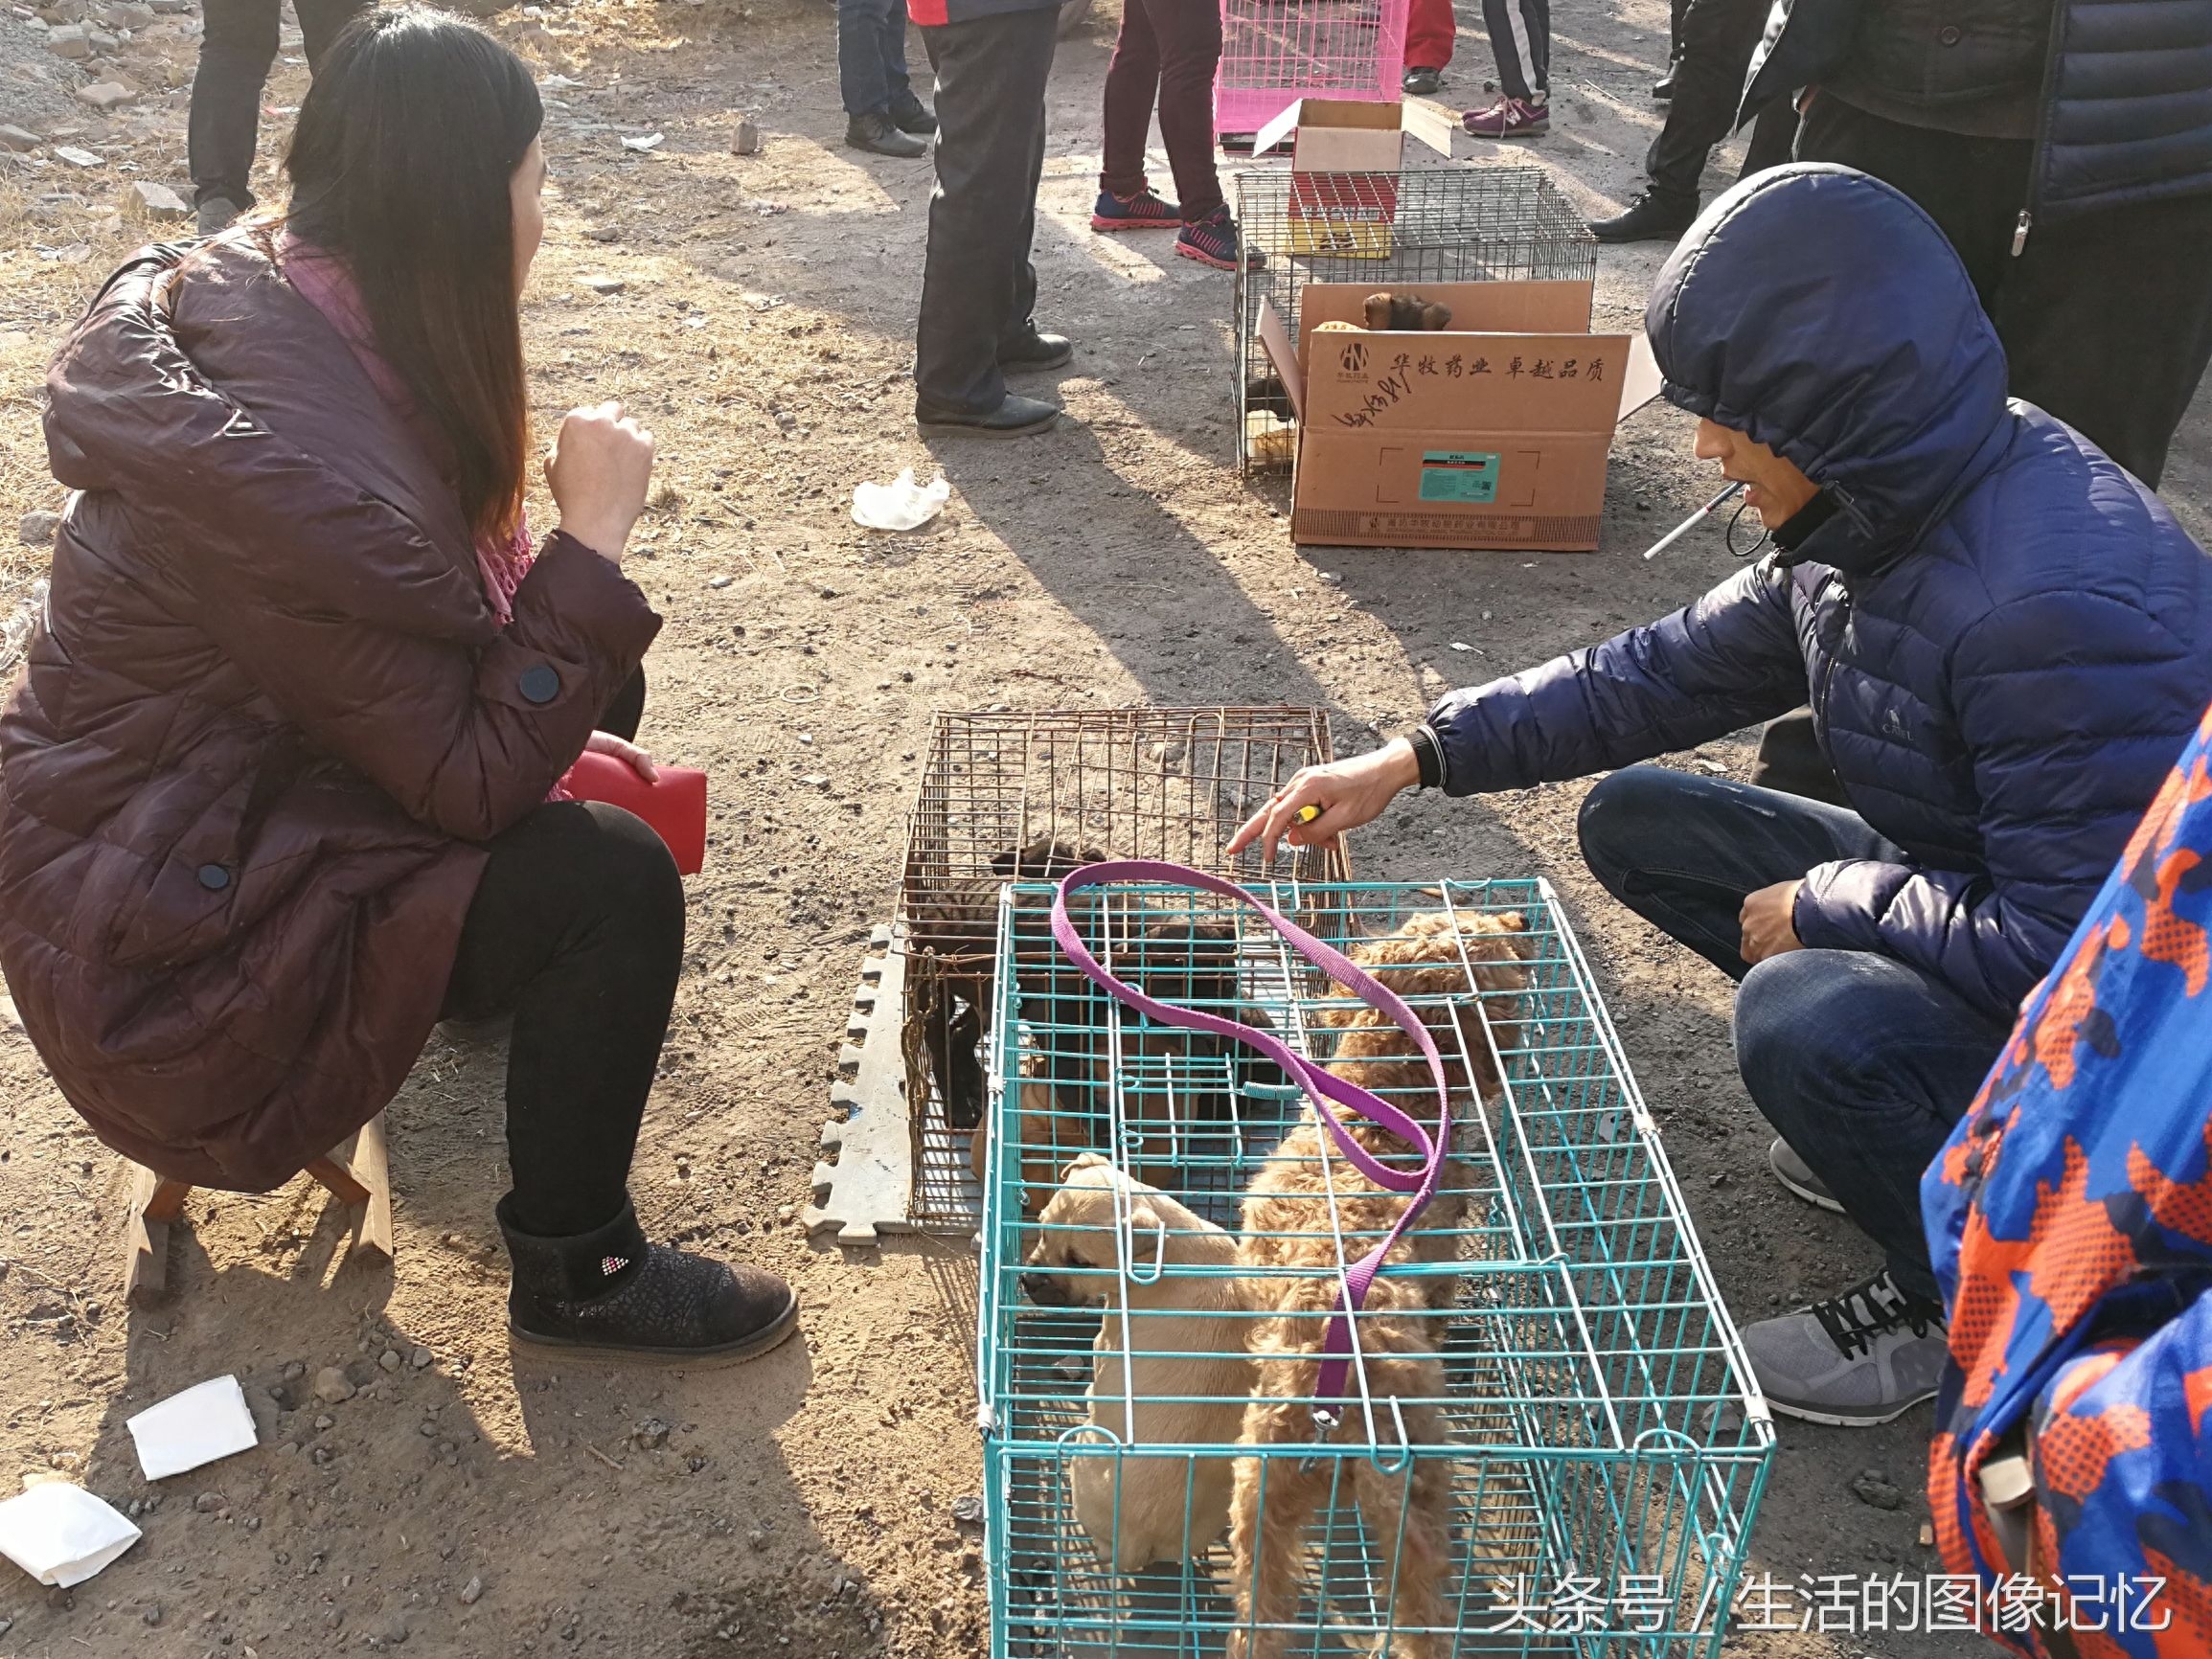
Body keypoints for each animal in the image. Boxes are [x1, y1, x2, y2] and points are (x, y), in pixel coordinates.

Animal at [1021, 1159, 1256, 1575]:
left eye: (1080, 1262)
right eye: (1043, 1229)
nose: (1028, 1282)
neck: (1165, 1249)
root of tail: (1135, 1539)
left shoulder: (1108, 1336)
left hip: (1082, 1452)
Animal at [1220, 916, 1530, 1654]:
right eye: (1489, 942)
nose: (1523, 920)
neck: (1380, 1109)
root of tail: (1340, 1412)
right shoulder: (1443, 1242)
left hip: (1259, 1489)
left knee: (1260, 1604)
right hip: (1418, 1487)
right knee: (1424, 1614)